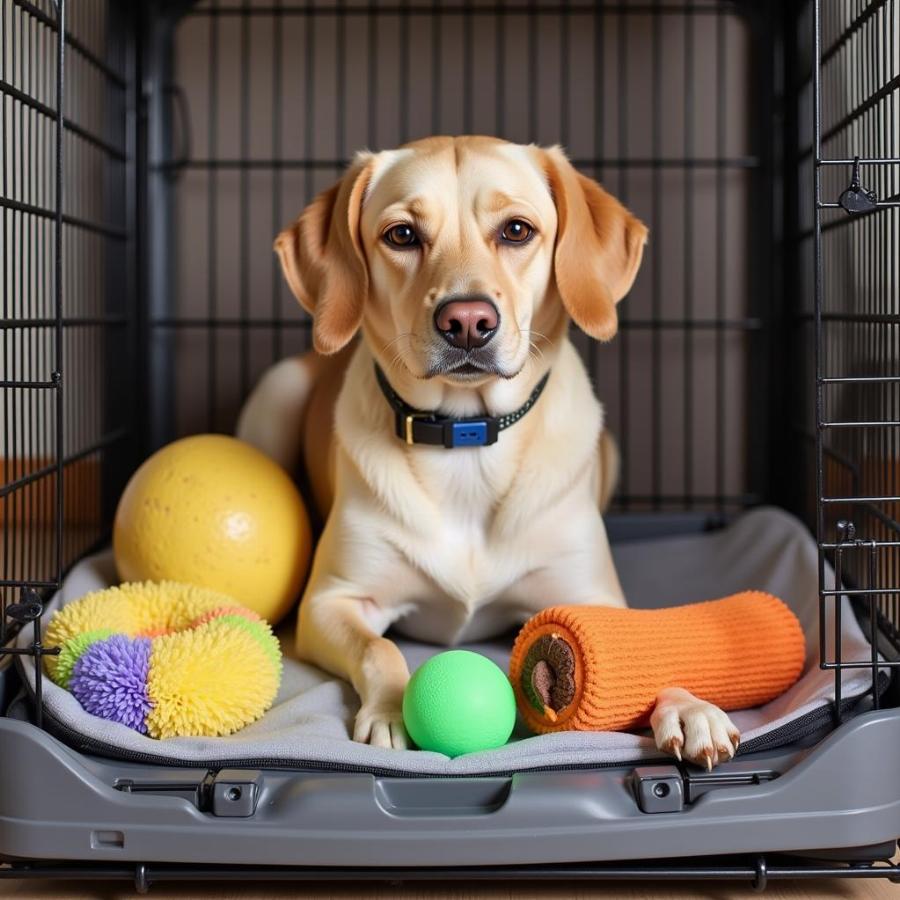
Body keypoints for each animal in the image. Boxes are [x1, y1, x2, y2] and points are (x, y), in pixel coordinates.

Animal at [237, 134, 740, 768]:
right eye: (401, 234)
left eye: (517, 230)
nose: (468, 321)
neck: (467, 442)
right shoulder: (333, 601)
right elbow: (380, 650)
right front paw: (391, 710)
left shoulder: (593, 595)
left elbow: (640, 648)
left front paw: (688, 707)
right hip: (274, 396)